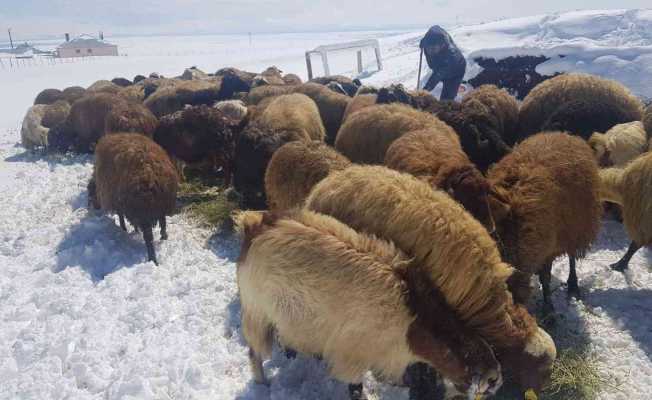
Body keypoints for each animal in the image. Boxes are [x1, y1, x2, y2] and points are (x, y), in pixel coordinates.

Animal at [88, 134, 178, 266]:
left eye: (90, 194)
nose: (92, 208)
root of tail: (149, 176)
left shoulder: (119, 202)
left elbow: (121, 218)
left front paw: (124, 229)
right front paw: (133, 230)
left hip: (142, 211)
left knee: (149, 238)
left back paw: (153, 260)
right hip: (160, 204)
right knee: (163, 221)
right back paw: (164, 237)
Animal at [239, 209, 504, 400]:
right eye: (488, 380)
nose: (497, 381)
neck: (413, 318)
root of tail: (254, 225)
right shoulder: (354, 354)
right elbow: (355, 388)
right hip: (256, 310)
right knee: (254, 352)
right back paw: (262, 384)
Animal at [486, 132, 604, 310]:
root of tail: (563, 134)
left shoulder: (548, 248)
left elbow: (546, 277)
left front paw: (549, 308)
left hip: (577, 228)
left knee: (571, 257)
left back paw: (573, 285)